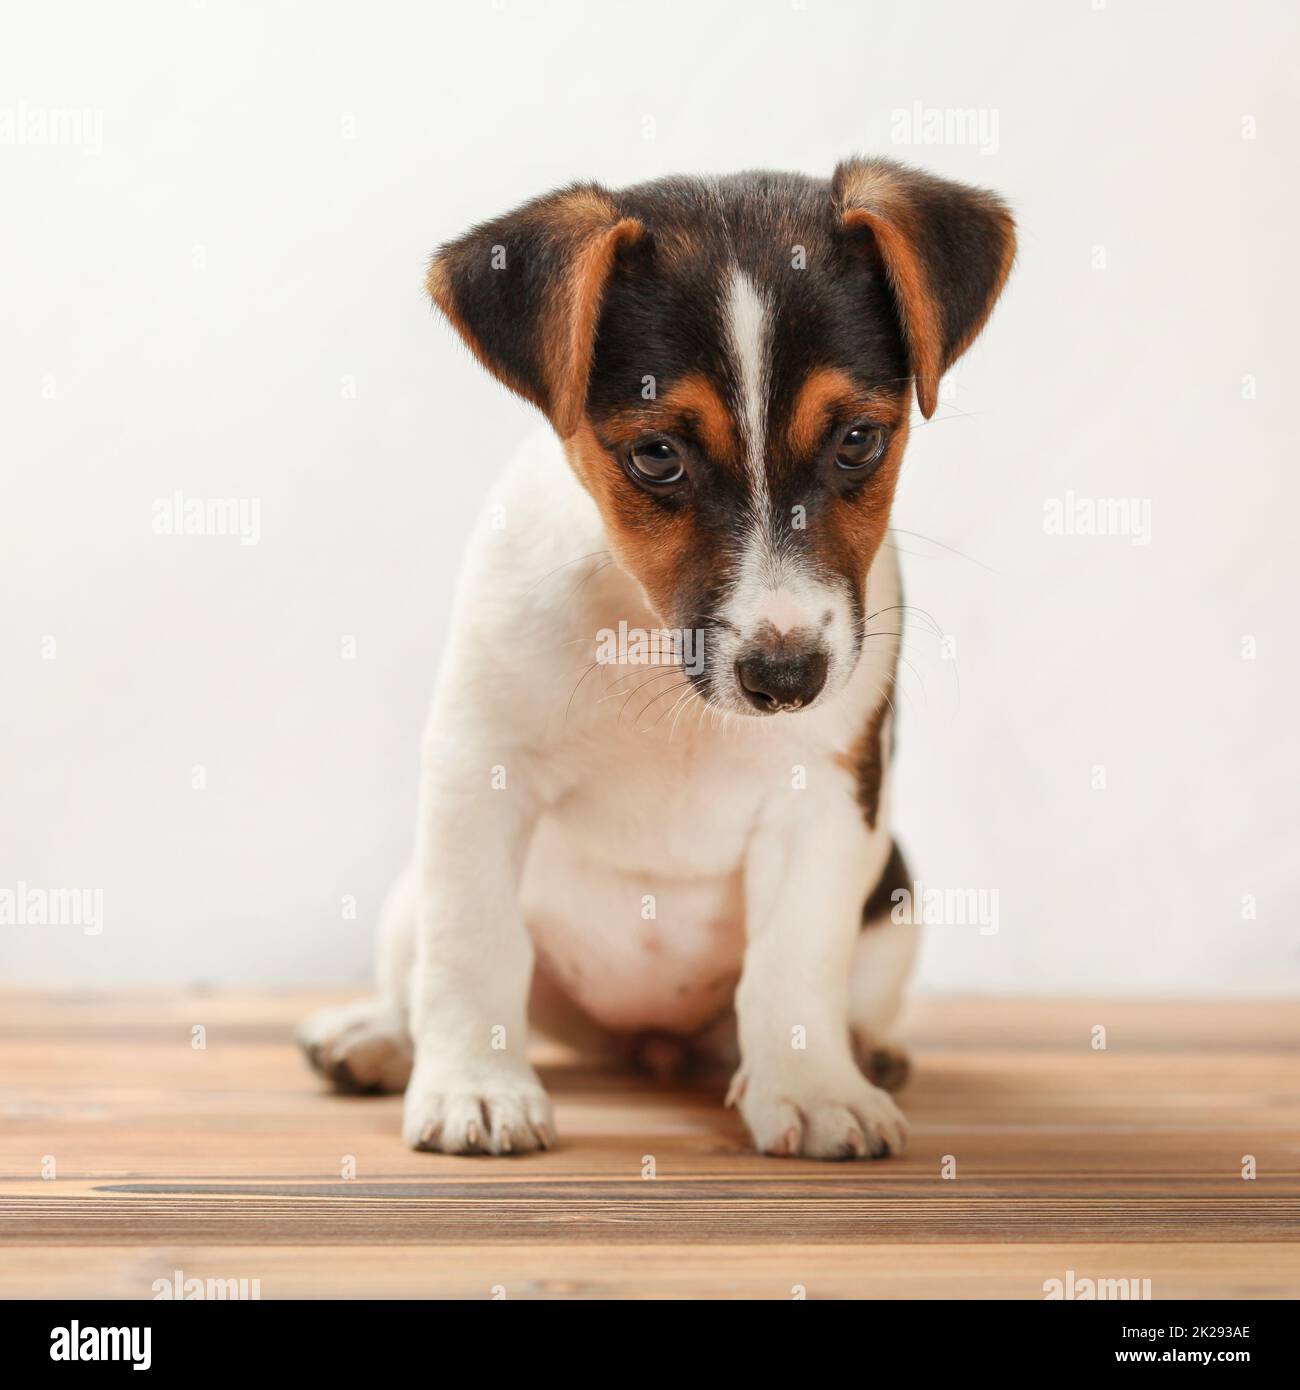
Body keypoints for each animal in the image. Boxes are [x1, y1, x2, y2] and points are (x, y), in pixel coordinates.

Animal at [297, 159, 1017, 1162]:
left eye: (859, 440)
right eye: (656, 455)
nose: (787, 679)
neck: (648, 646)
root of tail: (646, 1043)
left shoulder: (827, 797)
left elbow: (794, 960)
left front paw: (813, 1087)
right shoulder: (479, 769)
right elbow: (475, 944)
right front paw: (477, 1088)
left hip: (894, 900)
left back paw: (866, 1051)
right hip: (412, 896)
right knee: (423, 973)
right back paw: (373, 1036)